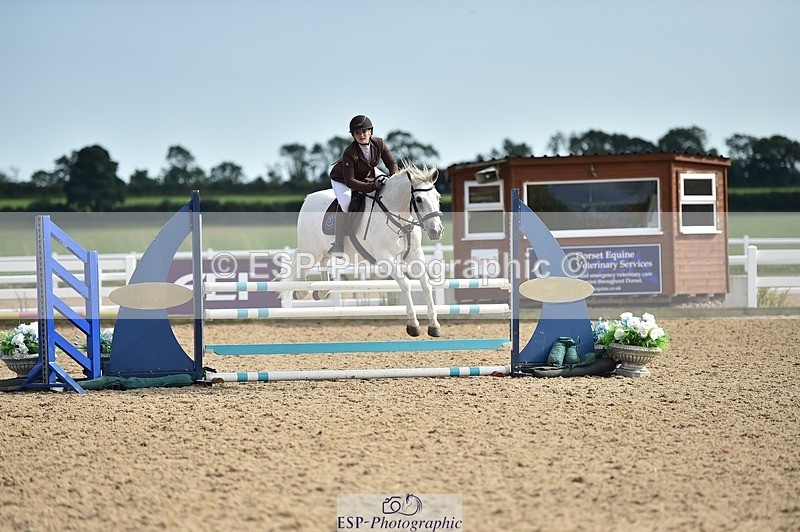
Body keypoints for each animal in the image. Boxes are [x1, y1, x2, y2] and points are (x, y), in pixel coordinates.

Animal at [286, 162, 445, 337]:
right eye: (419, 199)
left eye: (438, 197)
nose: (436, 231)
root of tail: (308, 198)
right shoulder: (385, 256)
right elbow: (405, 284)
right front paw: (413, 325)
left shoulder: (415, 254)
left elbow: (426, 284)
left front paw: (434, 325)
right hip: (311, 249)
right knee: (302, 265)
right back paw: (300, 292)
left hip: (325, 249)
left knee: (323, 262)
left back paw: (320, 291)